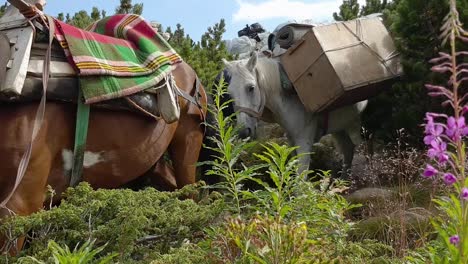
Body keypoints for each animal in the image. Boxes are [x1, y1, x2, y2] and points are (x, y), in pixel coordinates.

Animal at [223, 51, 370, 176]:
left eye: (251, 88)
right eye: (229, 93)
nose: (243, 132)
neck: (288, 95)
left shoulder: (304, 141)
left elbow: (300, 179)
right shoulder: (292, 140)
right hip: (341, 128)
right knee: (348, 150)